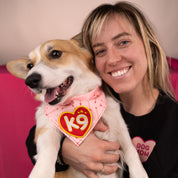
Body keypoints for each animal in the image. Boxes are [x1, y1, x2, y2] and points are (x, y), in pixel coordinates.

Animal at [6, 35, 148, 178]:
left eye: (55, 53)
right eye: (29, 66)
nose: (30, 81)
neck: (77, 100)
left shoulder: (119, 126)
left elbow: (131, 152)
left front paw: (139, 173)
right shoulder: (46, 128)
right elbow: (47, 150)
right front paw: (41, 172)